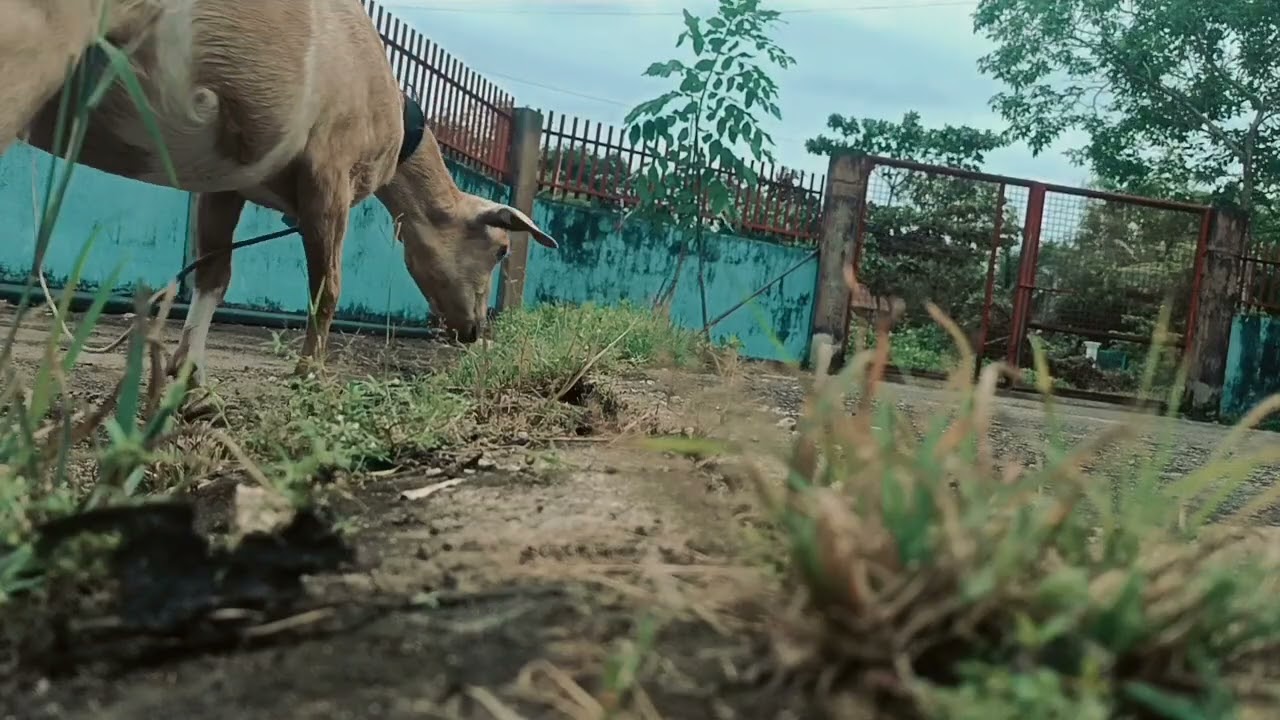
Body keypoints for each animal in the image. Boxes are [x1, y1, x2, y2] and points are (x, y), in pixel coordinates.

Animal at [0, 0, 558, 392]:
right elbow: (327, 287)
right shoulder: (329, 172)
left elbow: (214, 274)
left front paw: (189, 374)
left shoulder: (226, 183)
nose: (474, 331)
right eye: (501, 249)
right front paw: (309, 375)